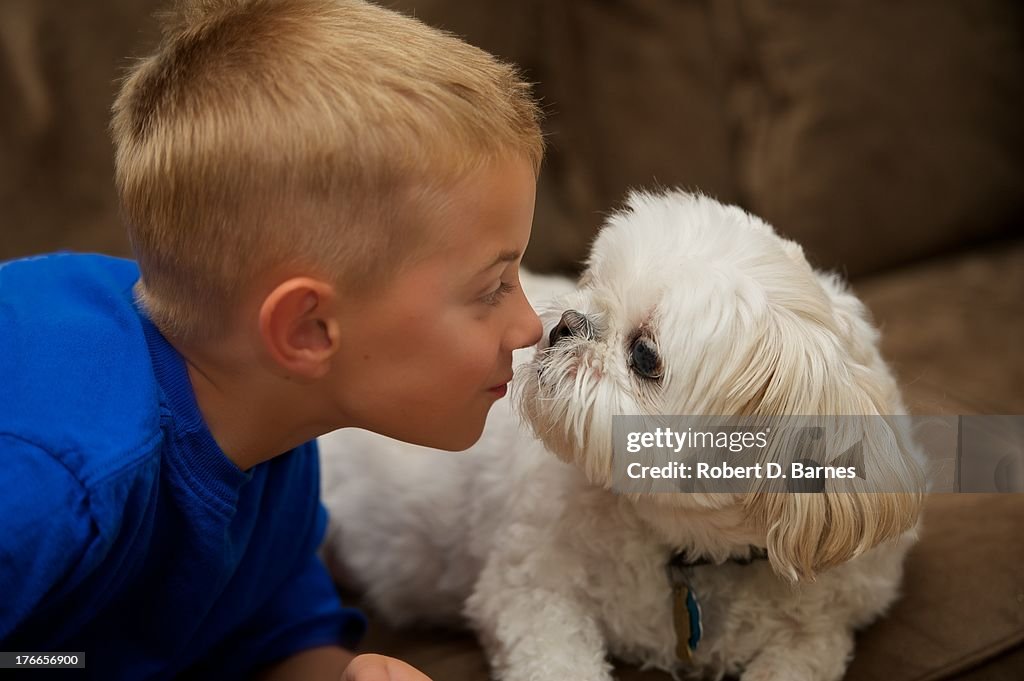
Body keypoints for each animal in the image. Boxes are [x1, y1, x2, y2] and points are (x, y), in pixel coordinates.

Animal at [321, 191, 929, 679]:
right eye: (590, 285)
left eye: (645, 355)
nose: (565, 324)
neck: (694, 550)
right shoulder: (530, 596)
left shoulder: (818, 634)